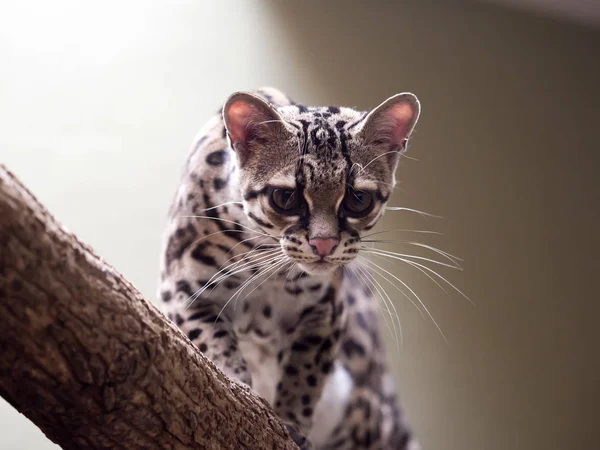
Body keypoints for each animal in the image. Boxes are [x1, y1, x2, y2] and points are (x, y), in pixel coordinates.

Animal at [159, 86, 422, 448]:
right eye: (286, 198)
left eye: (358, 200)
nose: (324, 244)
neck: (267, 270)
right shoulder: (182, 287)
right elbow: (213, 341)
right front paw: (237, 384)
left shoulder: (325, 312)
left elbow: (305, 373)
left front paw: (292, 422)